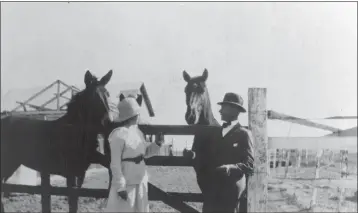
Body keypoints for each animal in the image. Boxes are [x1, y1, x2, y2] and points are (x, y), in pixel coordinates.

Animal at [1, 70, 112, 213]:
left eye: (107, 94)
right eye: (93, 97)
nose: (108, 123)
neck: (74, 133)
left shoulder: (83, 169)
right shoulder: (72, 175)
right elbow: (72, 203)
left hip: (11, 164)